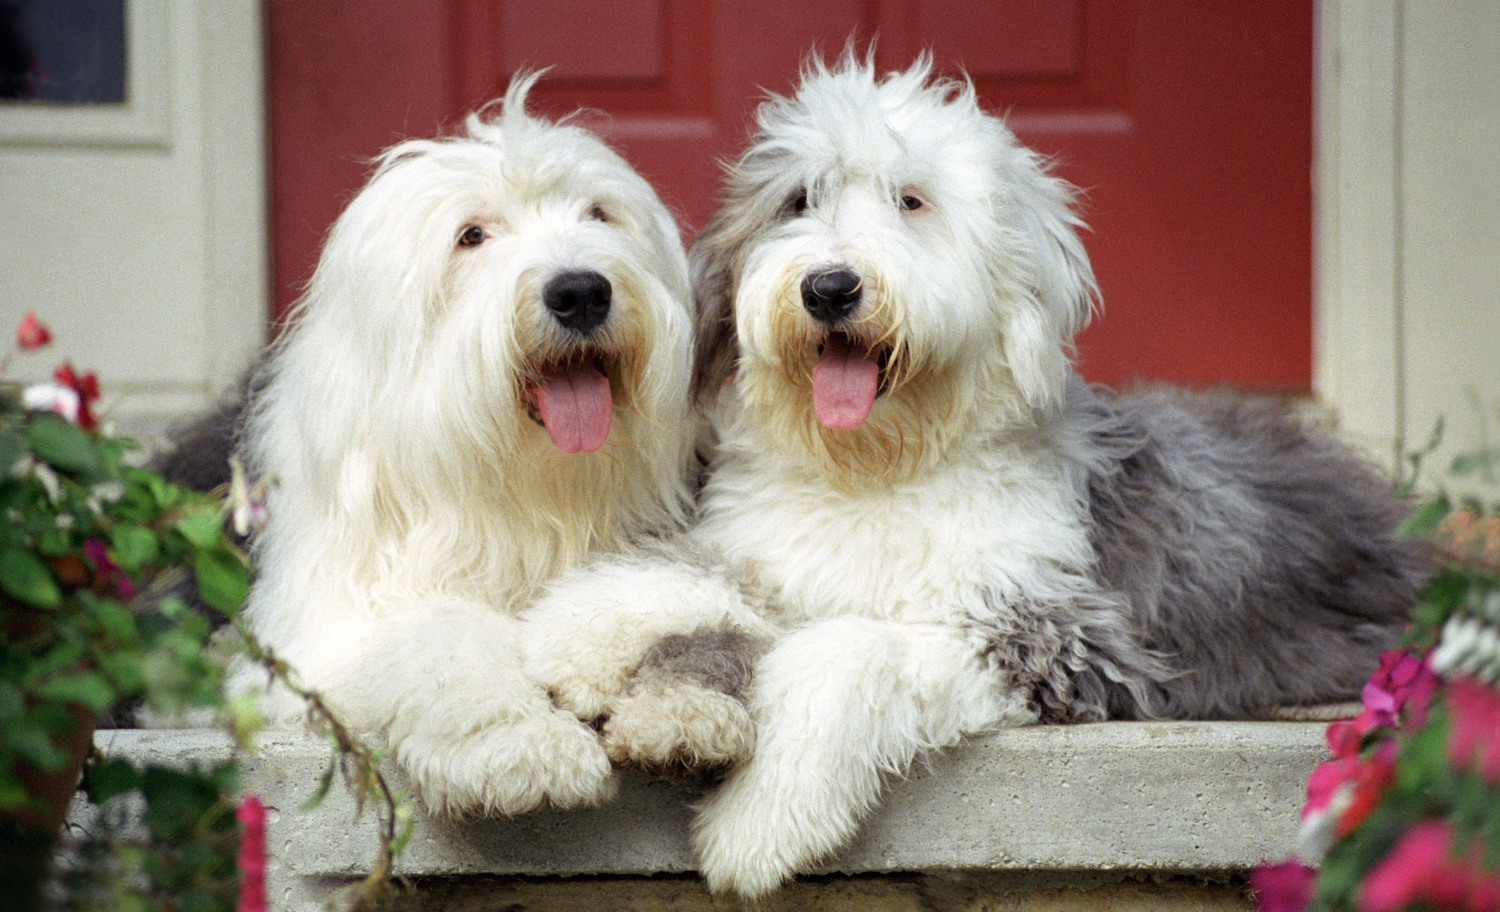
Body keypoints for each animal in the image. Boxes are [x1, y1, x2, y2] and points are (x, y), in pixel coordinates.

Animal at [231, 78, 699, 816]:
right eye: (471, 236)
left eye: (599, 214)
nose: (581, 291)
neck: (534, 501)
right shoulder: (324, 634)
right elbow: (439, 636)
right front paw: (523, 746)